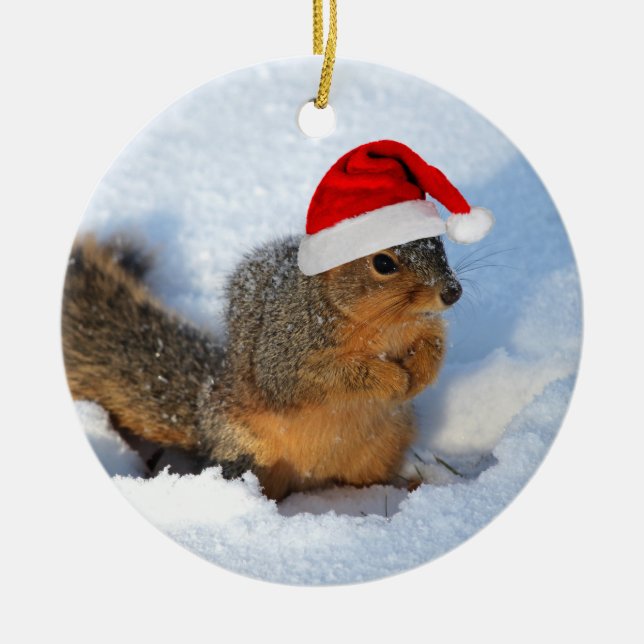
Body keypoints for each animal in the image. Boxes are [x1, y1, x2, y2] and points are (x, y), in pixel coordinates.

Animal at [62, 140, 492, 501]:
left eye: (439, 243)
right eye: (383, 263)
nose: (452, 292)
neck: (384, 324)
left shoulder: (423, 326)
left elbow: (434, 345)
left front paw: (418, 374)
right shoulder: (288, 351)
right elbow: (324, 376)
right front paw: (392, 379)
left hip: (384, 445)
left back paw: (408, 487)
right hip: (249, 451)